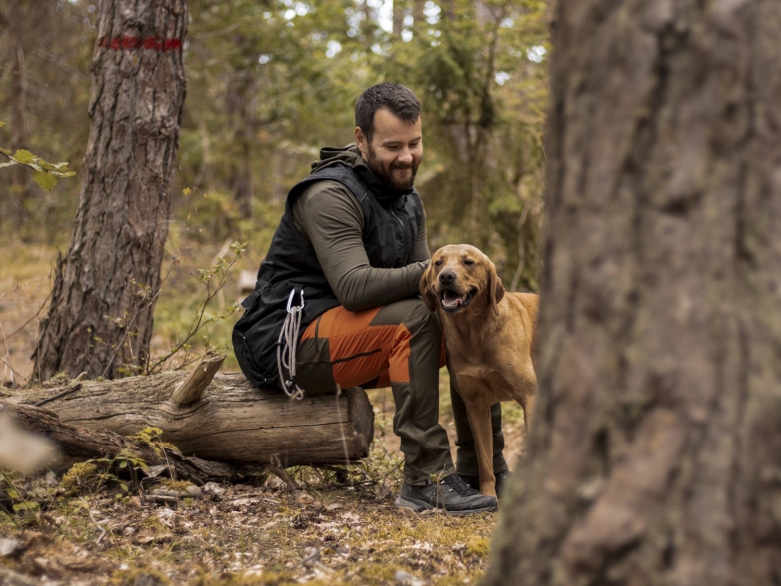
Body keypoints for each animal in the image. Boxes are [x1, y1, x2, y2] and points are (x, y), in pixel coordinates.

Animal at [420, 244, 536, 496]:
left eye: (468, 262)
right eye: (438, 262)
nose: (446, 277)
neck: (474, 332)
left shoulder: (530, 396)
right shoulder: (476, 405)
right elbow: (484, 461)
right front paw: (488, 496)